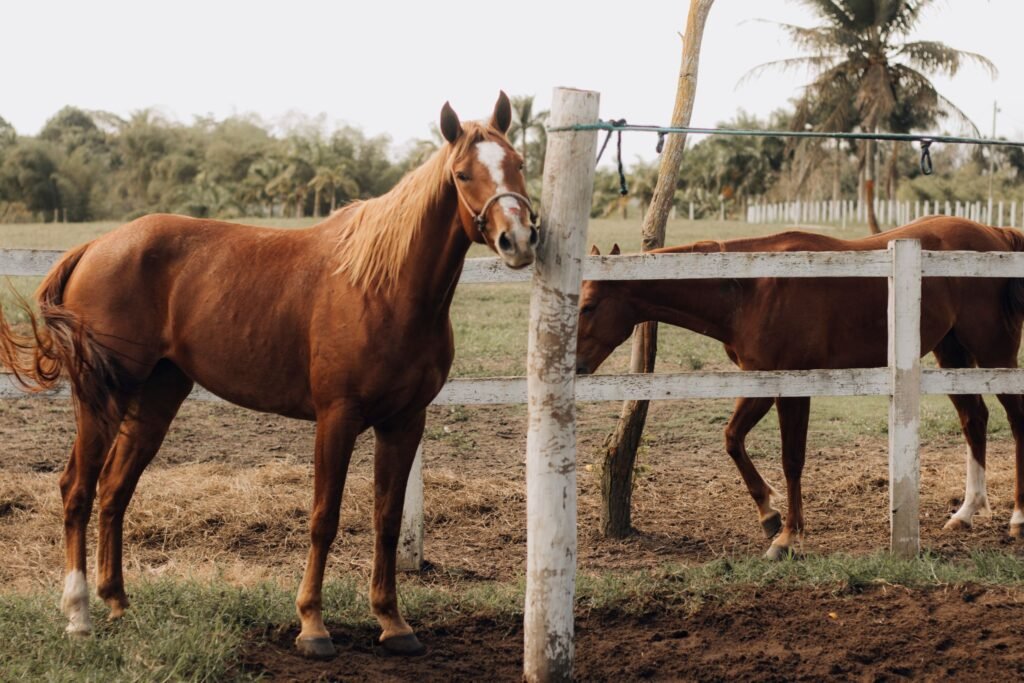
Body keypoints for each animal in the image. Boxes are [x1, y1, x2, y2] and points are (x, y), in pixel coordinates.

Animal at [0, 92, 538, 657]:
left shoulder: (405, 421)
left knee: (115, 490)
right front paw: (313, 625)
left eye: (519, 163)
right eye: (461, 174)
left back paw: (117, 603)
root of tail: (95, 246)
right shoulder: (337, 418)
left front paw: (392, 621)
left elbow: (388, 520)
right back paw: (78, 614)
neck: (383, 288)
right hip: (100, 398)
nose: (519, 238)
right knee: (77, 488)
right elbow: (324, 518)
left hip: (156, 398)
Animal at [575, 218, 1024, 559]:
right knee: (974, 419)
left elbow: (792, 460)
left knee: (1014, 420)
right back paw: (966, 512)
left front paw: (787, 537)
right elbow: (732, 438)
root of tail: (997, 235)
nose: (575, 365)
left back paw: (1018, 519)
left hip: (995, 351)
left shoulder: (793, 386)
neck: (751, 287)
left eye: (588, 306)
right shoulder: (761, 380)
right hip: (952, 354)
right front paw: (768, 514)